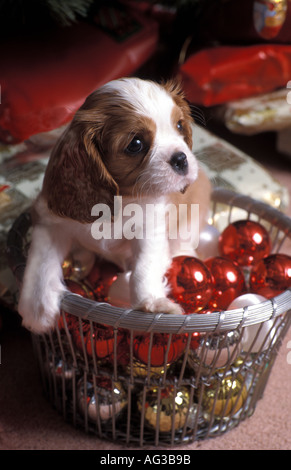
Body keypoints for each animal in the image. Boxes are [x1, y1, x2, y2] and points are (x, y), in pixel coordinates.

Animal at [18, 78, 211, 334]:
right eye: (136, 144)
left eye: (179, 126)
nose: (181, 158)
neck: (122, 199)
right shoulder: (50, 221)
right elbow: (41, 262)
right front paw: (36, 308)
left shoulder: (151, 228)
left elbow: (144, 266)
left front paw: (152, 304)